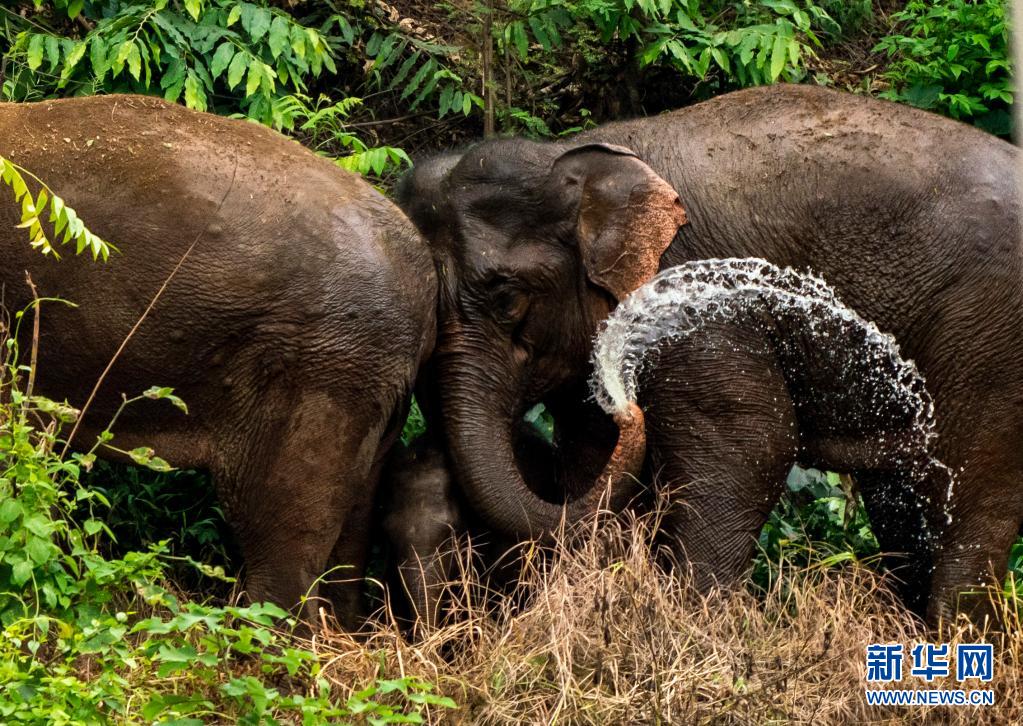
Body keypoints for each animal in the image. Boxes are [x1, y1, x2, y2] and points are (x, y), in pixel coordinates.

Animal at [396, 83, 1023, 625]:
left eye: (506, 298)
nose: (628, 404)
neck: (579, 156)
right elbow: (593, 454)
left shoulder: (693, 304)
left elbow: (750, 442)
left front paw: (697, 628)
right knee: (903, 499)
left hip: (991, 341)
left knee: (969, 498)